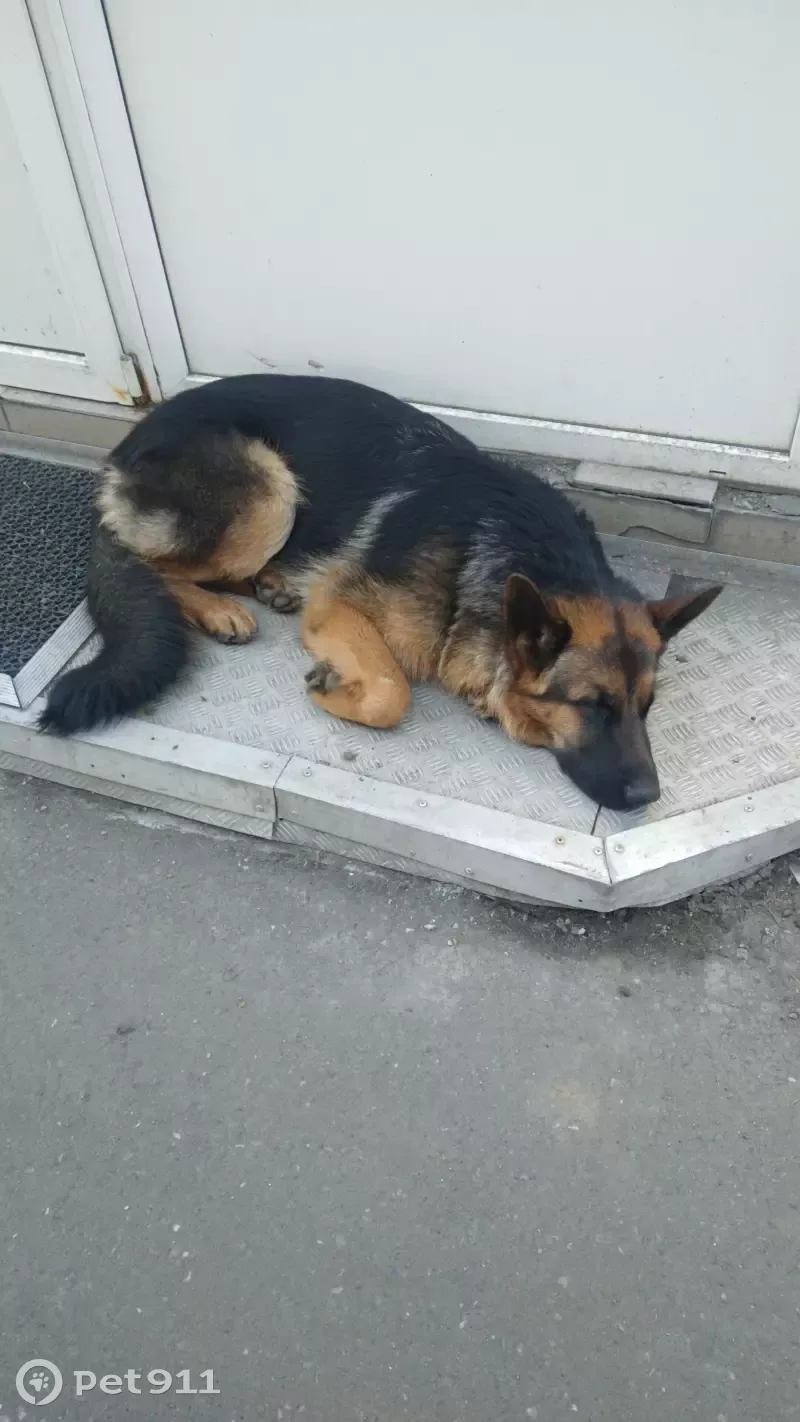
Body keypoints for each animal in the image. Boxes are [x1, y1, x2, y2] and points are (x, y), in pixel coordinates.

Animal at [40, 375, 722, 809]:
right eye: (592, 706)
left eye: (646, 708)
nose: (649, 797)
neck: (507, 548)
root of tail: (126, 445)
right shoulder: (342, 604)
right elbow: (393, 692)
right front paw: (333, 689)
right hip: (270, 489)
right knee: (153, 562)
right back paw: (222, 609)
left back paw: (270, 584)